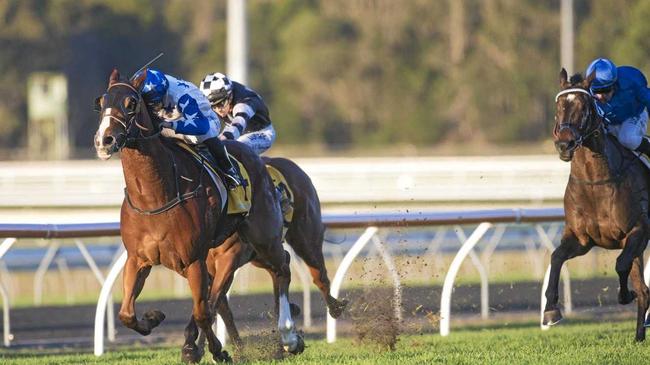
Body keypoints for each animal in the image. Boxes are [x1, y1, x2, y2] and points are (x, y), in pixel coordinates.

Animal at [93, 69, 304, 362]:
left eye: (131, 103)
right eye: (100, 102)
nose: (105, 140)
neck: (155, 196)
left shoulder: (195, 259)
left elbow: (204, 311)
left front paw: (215, 351)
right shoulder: (138, 259)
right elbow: (126, 313)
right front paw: (154, 317)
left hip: (263, 236)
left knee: (282, 267)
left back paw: (289, 337)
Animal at [186, 156, 346, 350]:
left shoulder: (229, 259)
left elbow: (213, 301)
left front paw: (198, 347)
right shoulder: (209, 266)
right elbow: (219, 305)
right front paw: (233, 348)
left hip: (305, 239)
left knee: (318, 276)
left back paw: (334, 307)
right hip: (262, 252)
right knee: (281, 266)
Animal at [548, 68, 648, 342]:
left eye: (584, 106)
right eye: (559, 105)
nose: (564, 144)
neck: (595, 183)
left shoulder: (637, 231)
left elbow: (621, 264)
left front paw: (625, 295)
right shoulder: (581, 239)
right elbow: (556, 257)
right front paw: (551, 310)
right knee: (645, 290)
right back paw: (639, 335)